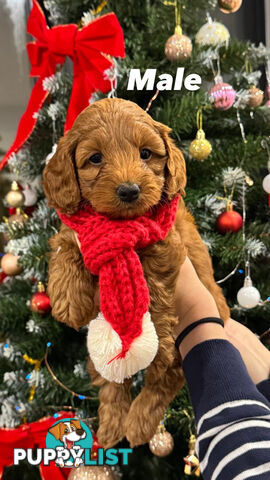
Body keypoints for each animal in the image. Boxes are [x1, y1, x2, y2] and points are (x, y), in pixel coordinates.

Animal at [43, 95, 229, 448]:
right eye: (95, 158)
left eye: (146, 154)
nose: (129, 190)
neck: (121, 227)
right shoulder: (77, 230)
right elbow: (66, 244)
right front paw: (68, 300)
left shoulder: (167, 243)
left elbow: (152, 290)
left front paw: (150, 335)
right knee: (111, 382)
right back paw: (112, 426)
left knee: (168, 376)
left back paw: (139, 421)